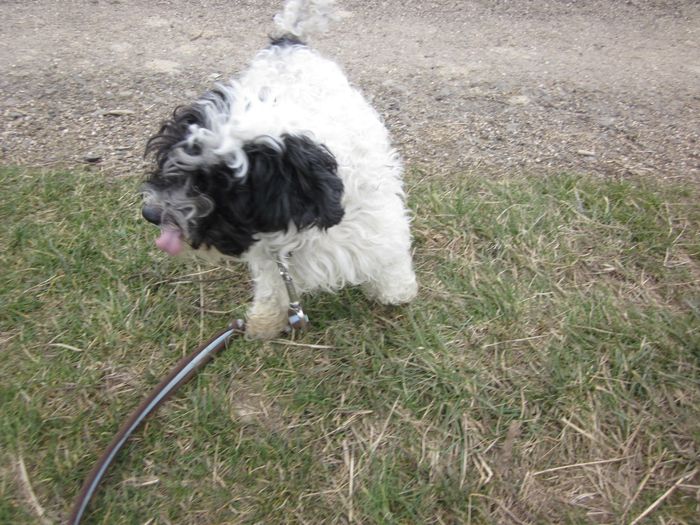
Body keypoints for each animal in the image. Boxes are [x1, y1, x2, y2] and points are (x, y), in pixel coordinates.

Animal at [142, 0, 416, 338]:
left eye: (220, 185)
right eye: (175, 165)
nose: (151, 213)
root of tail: (288, 42)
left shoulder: (378, 220)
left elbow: (390, 257)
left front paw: (396, 291)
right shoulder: (270, 255)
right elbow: (273, 286)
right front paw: (266, 320)